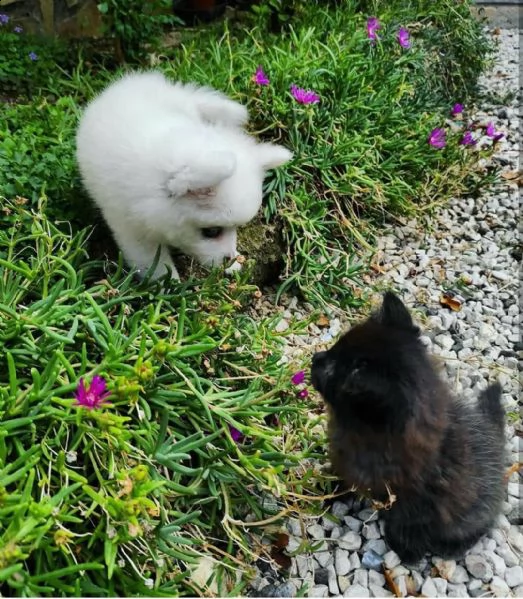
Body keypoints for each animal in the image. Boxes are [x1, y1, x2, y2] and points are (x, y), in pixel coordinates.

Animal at [314, 292, 506, 564]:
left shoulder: (421, 504)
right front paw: (329, 492)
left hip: (476, 508)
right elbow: (343, 478)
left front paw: (406, 549)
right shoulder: (347, 465)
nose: (316, 359)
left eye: (332, 371)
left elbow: (406, 524)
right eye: (333, 351)